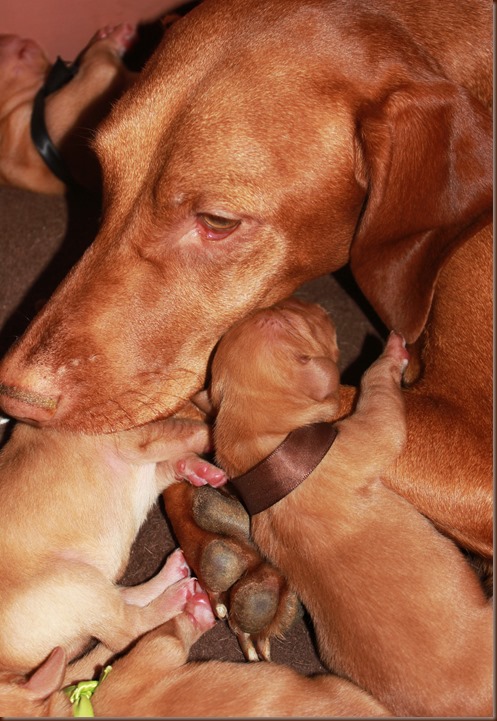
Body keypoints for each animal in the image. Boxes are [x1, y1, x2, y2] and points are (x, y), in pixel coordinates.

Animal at [0, 414, 226, 674]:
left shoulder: (149, 471)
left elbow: (171, 462)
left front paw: (200, 470)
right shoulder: (139, 442)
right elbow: (197, 432)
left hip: (91, 585)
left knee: (126, 601)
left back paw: (172, 573)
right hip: (76, 580)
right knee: (128, 630)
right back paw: (178, 599)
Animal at [207, 298, 493, 718]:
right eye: (295, 321)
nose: (313, 302)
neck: (265, 454)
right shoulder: (369, 433)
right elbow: (379, 394)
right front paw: (391, 354)